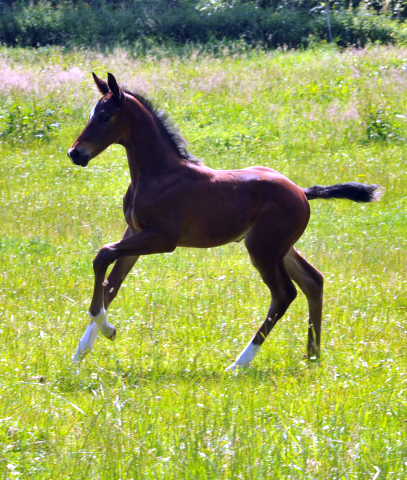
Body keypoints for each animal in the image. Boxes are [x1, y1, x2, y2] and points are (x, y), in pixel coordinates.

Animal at [67, 73, 382, 370]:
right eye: (92, 113)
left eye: (105, 115)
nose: (75, 153)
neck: (160, 174)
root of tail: (302, 193)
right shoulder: (134, 231)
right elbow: (112, 283)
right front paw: (81, 351)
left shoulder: (162, 238)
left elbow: (102, 254)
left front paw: (106, 330)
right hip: (281, 248)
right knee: (313, 281)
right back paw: (313, 354)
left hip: (263, 250)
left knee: (284, 294)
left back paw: (240, 363)